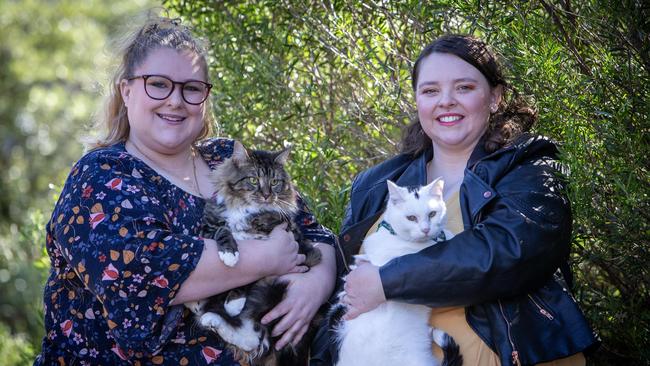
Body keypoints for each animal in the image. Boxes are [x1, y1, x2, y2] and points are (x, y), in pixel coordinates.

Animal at [184, 141, 320, 366]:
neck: (246, 210)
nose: (266, 195)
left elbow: (250, 277)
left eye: (274, 181)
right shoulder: (209, 227)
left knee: (255, 337)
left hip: (272, 291)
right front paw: (230, 254)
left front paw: (234, 304)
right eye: (253, 179)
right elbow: (224, 231)